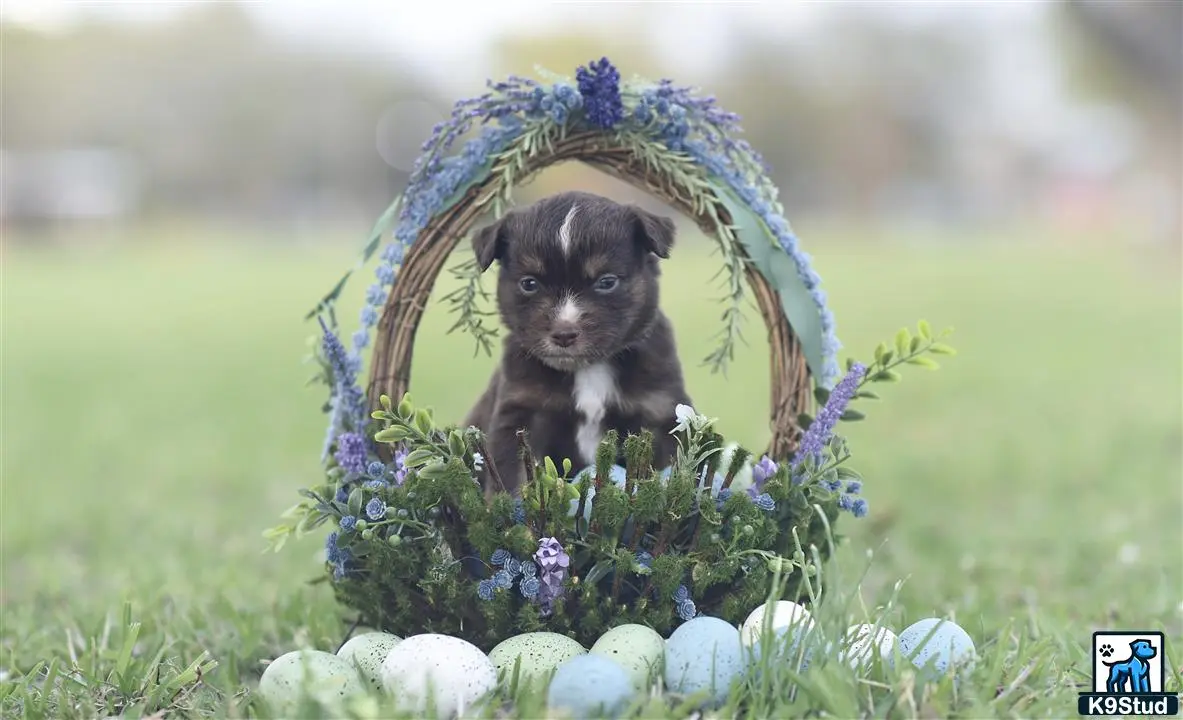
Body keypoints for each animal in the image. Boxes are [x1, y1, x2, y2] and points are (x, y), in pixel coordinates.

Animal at [463, 189, 690, 494]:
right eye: (529, 284)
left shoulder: (659, 414)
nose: (564, 333)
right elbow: (513, 480)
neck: (588, 369)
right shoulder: (520, 415)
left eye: (606, 282)